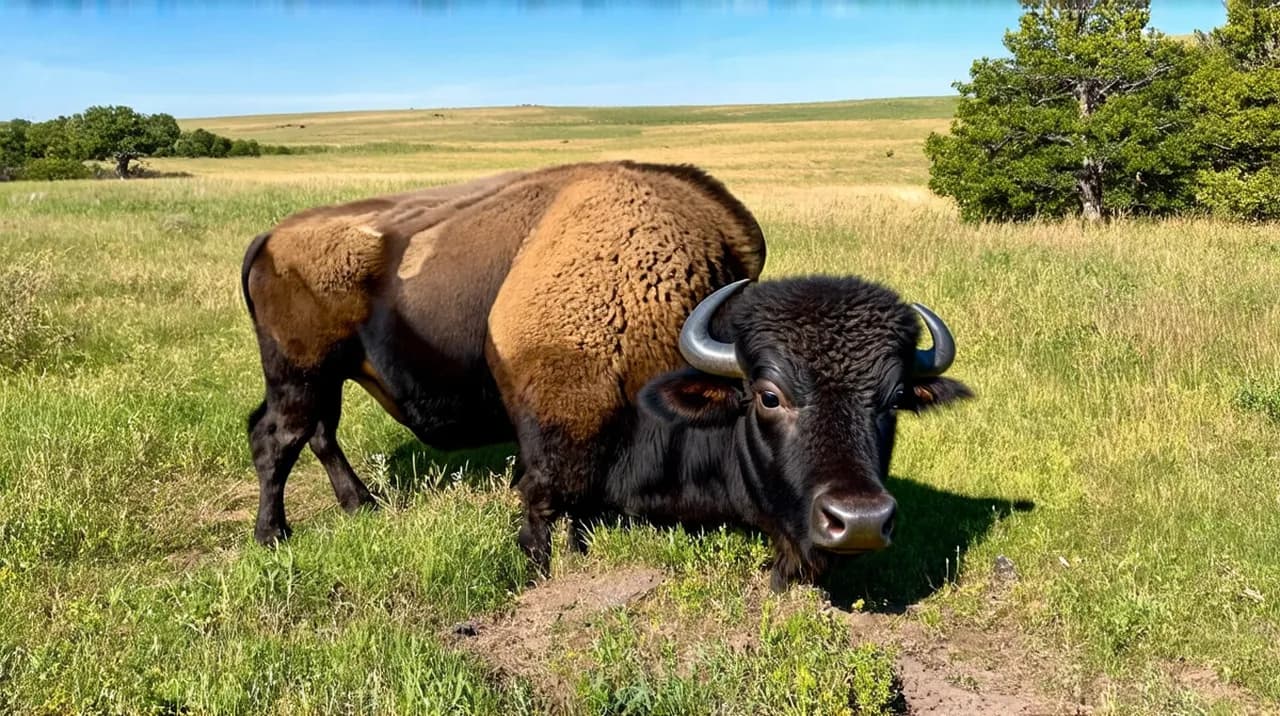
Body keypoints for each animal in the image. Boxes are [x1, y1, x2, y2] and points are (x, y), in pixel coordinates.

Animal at [241, 160, 970, 588]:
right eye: (768, 395)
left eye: (895, 399)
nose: (860, 520)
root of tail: (271, 237)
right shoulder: (554, 439)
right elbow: (543, 509)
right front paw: (540, 572)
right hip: (301, 374)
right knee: (278, 439)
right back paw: (273, 537)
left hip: (327, 378)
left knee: (314, 434)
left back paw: (359, 505)